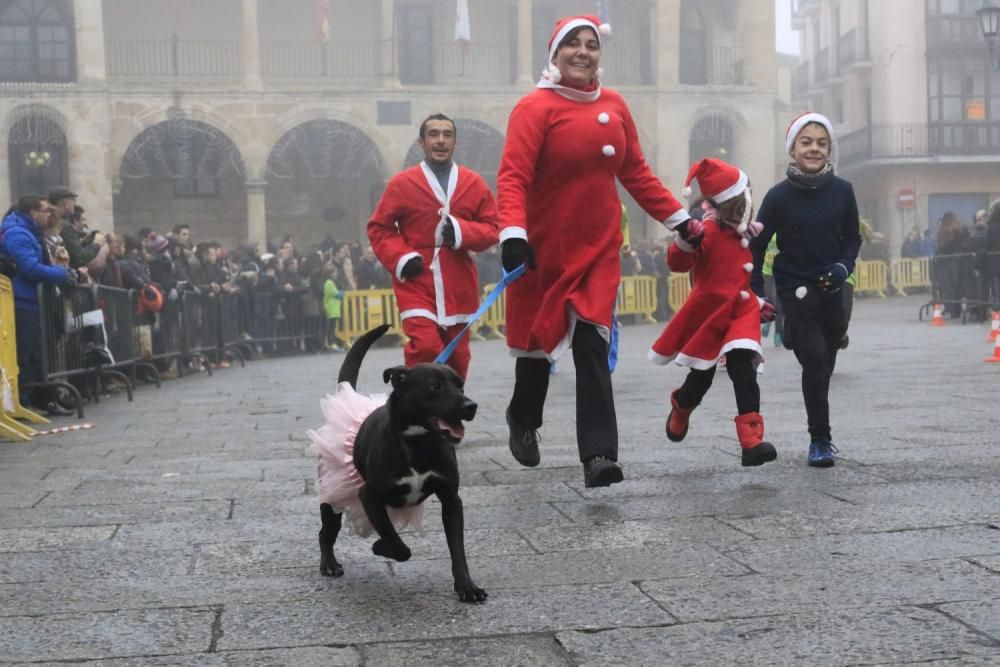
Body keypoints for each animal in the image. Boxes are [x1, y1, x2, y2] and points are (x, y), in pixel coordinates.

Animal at [312, 326, 484, 604]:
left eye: (461, 385)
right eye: (435, 386)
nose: (471, 406)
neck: (417, 440)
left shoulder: (451, 500)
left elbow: (457, 548)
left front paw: (467, 587)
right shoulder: (368, 496)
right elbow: (397, 543)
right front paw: (380, 546)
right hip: (332, 494)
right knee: (325, 532)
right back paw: (329, 564)